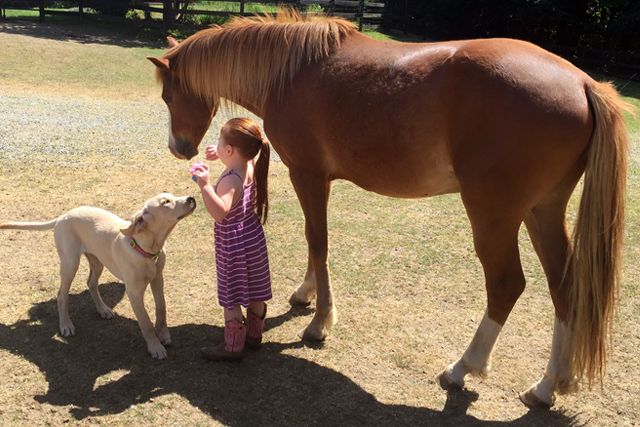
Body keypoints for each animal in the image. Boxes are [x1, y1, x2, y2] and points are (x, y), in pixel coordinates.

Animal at [0, 193, 195, 358]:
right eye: (166, 202)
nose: (191, 198)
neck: (146, 250)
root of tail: (62, 217)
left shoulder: (158, 279)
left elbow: (161, 308)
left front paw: (164, 335)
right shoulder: (133, 292)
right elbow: (145, 322)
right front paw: (155, 347)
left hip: (97, 260)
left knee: (91, 283)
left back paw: (103, 310)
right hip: (70, 262)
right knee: (62, 294)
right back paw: (66, 325)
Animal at [149, 11, 632, 408]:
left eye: (169, 97)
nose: (179, 148)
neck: (291, 73)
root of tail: (582, 83)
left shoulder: (308, 175)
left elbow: (318, 241)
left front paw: (320, 323)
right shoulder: (316, 180)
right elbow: (313, 240)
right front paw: (306, 295)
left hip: (494, 215)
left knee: (506, 285)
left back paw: (463, 368)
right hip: (542, 211)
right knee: (565, 287)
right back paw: (549, 385)